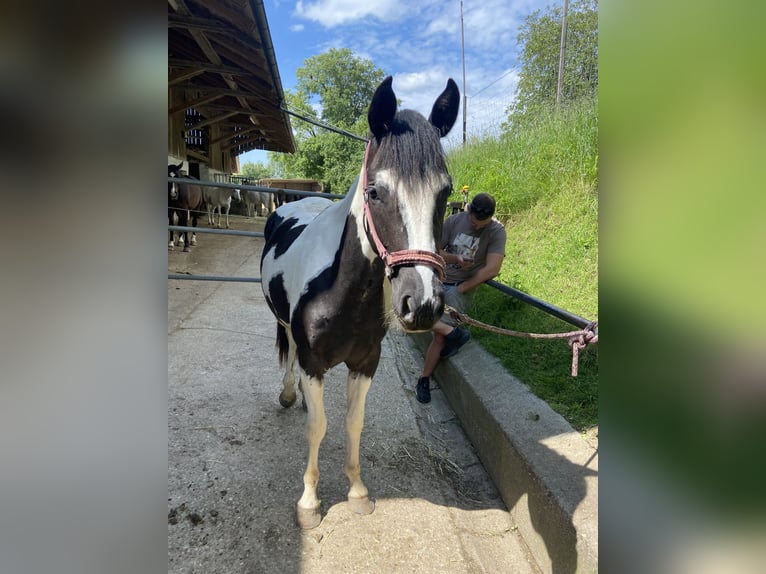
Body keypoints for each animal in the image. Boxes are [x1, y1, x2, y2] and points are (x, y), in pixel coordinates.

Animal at [260, 76, 460, 532]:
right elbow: (318, 427)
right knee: (289, 349)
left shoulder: (366, 363)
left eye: (445, 191)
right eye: (375, 191)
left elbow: (353, 423)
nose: (423, 304)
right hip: (285, 326)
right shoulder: (314, 362)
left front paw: (357, 491)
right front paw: (309, 504)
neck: (341, 293)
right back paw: (289, 394)